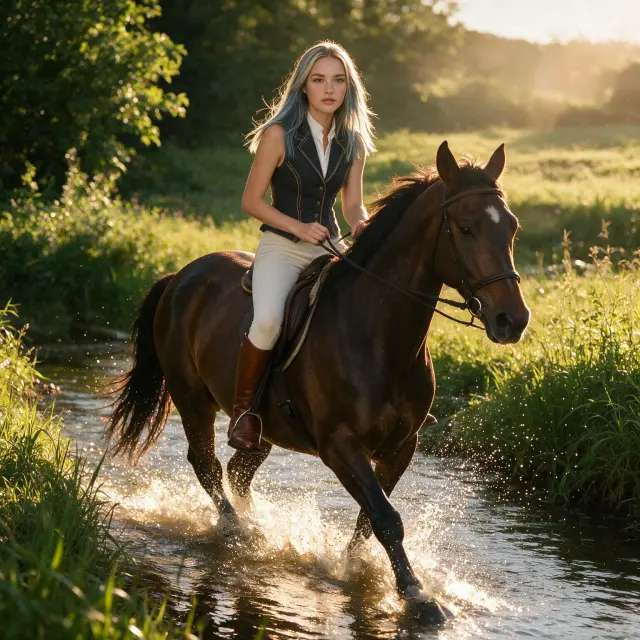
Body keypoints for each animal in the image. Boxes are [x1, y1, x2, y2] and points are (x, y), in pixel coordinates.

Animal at [106, 141, 530, 618]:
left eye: (511, 227)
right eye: (465, 228)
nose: (512, 320)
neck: (378, 335)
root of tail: (180, 276)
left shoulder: (401, 447)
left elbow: (370, 518)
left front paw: (358, 568)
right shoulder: (339, 444)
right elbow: (386, 518)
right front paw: (417, 595)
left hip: (261, 427)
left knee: (237, 470)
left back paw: (255, 524)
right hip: (192, 399)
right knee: (207, 465)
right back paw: (238, 531)